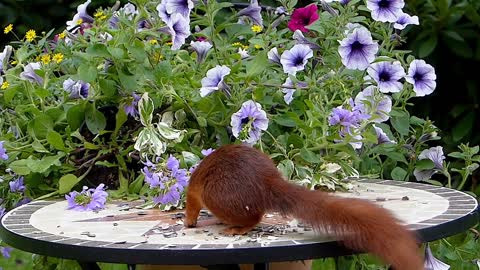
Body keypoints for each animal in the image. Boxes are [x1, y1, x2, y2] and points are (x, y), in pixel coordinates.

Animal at [184, 144, 424, 268]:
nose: (188, 226)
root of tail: (267, 181)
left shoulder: (194, 193)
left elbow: (192, 206)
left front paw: (190, 221)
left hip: (217, 195)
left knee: (254, 218)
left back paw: (237, 228)